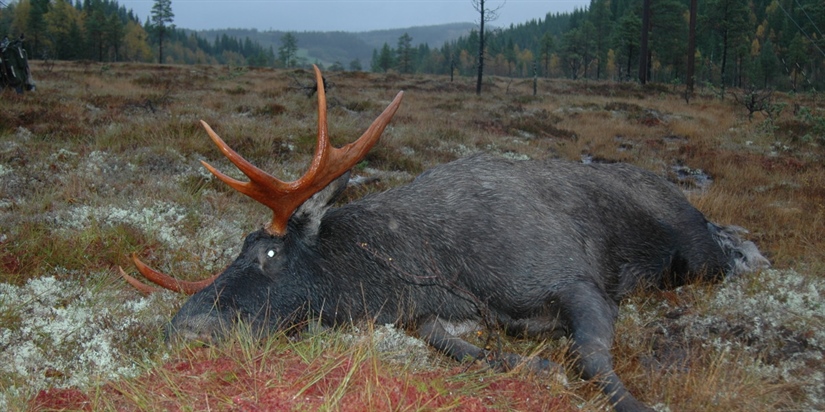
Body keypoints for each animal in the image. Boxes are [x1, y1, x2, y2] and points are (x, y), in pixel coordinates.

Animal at [120, 67, 768, 412]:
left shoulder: (579, 281)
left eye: (270, 253)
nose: (182, 328)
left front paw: (630, 398)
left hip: (697, 253)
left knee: (729, 248)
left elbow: (591, 358)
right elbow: (454, 344)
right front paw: (528, 364)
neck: (439, 267)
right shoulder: (431, 311)